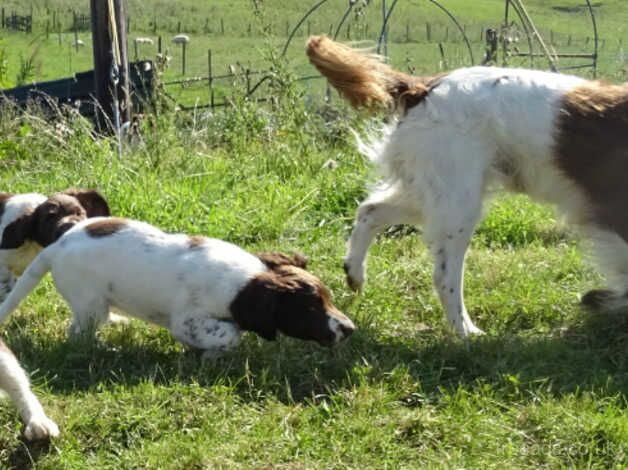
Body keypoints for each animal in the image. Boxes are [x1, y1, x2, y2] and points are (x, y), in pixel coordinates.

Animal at [0, 218, 356, 356]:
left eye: (329, 299)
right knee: (77, 333)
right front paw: (210, 352)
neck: (245, 281)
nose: (350, 329)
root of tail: (55, 247)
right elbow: (230, 334)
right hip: (90, 304)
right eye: (310, 309)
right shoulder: (187, 321)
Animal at [306, 37, 628, 338]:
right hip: (457, 203)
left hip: (434, 195)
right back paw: (465, 330)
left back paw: (355, 273)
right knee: (444, 275)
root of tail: (424, 87)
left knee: (369, 210)